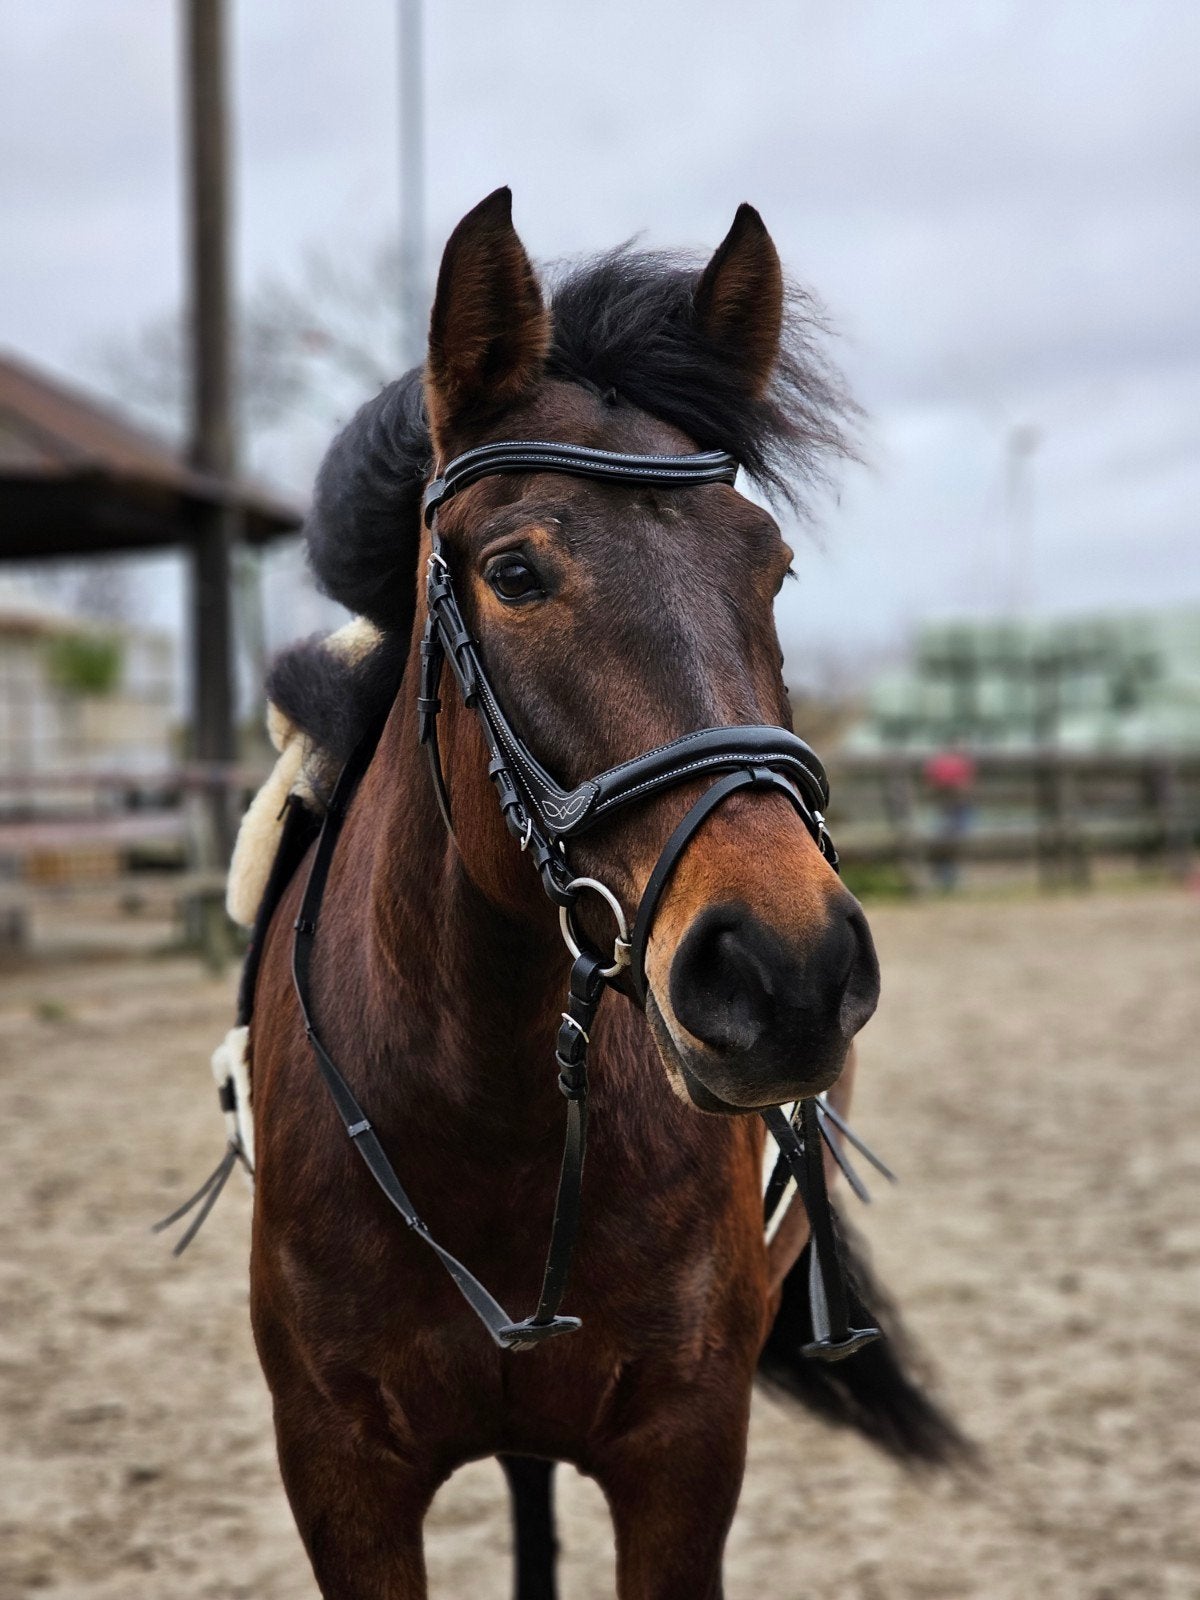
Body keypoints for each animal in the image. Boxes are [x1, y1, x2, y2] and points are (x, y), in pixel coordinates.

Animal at [245, 188, 964, 1599]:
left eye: (772, 570)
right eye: (515, 573)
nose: (787, 971)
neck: (487, 1115)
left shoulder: (684, 1454)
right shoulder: (338, 1472)